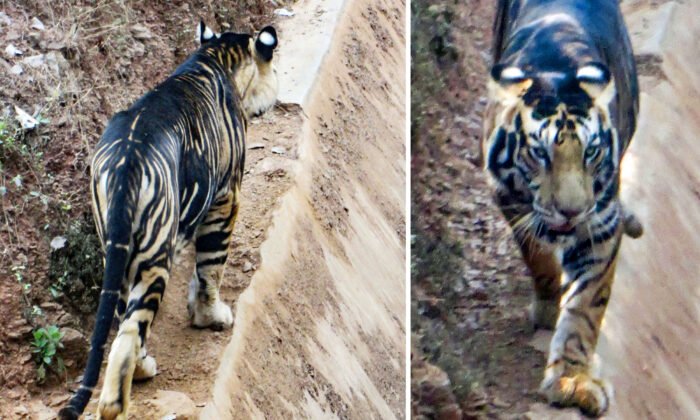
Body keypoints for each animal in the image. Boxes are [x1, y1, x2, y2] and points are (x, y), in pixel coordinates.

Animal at [58, 22, 278, 420]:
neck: (216, 55)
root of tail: (127, 161)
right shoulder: (226, 197)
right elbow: (212, 267)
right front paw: (211, 316)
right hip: (154, 257)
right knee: (129, 333)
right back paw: (119, 400)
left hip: (119, 253)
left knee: (123, 320)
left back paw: (142, 369)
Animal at [482, 0, 642, 416]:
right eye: (540, 153)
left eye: (591, 151)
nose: (572, 211)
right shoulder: (508, 198)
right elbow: (536, 255)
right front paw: (548, 305)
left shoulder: (600, 223)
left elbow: (586, 307)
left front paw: (572, 380)